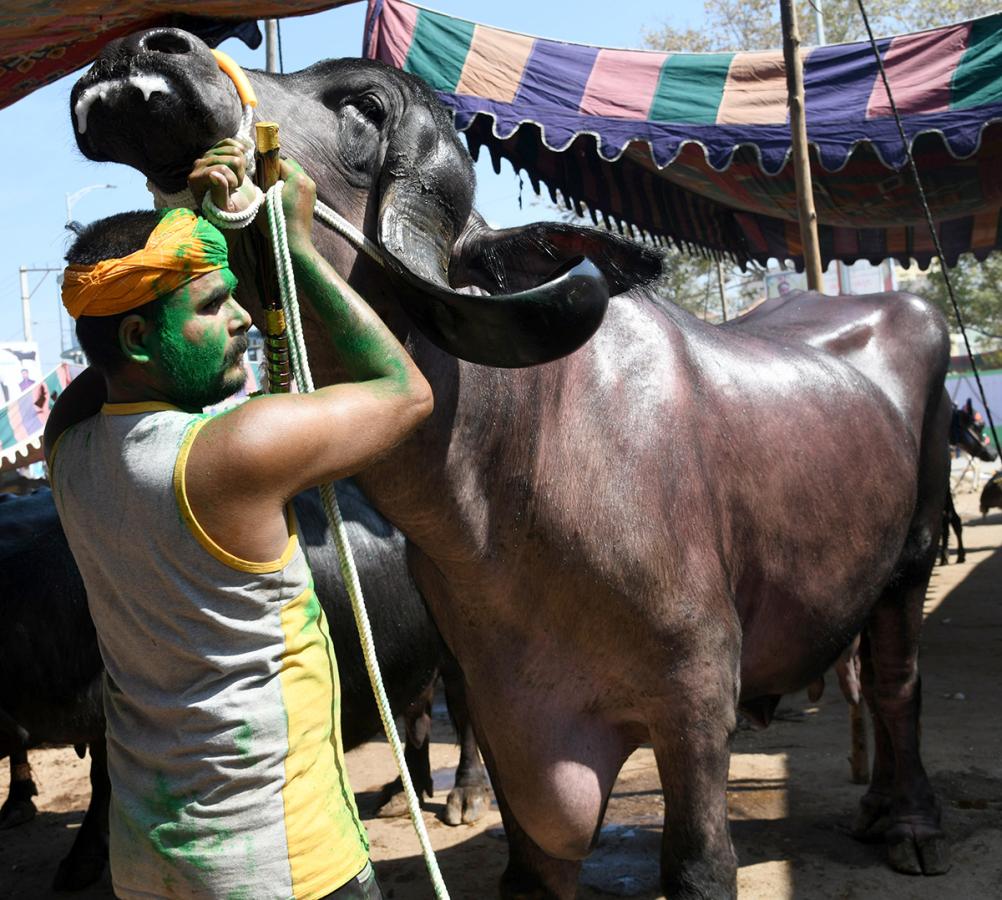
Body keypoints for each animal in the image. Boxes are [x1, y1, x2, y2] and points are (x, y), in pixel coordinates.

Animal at [0, 485, 488, 881]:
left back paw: (466, 795)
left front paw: (81, 860)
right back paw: (402, 793)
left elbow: (103, 781)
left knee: (463, 710)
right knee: (415, 711)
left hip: (458, 646)